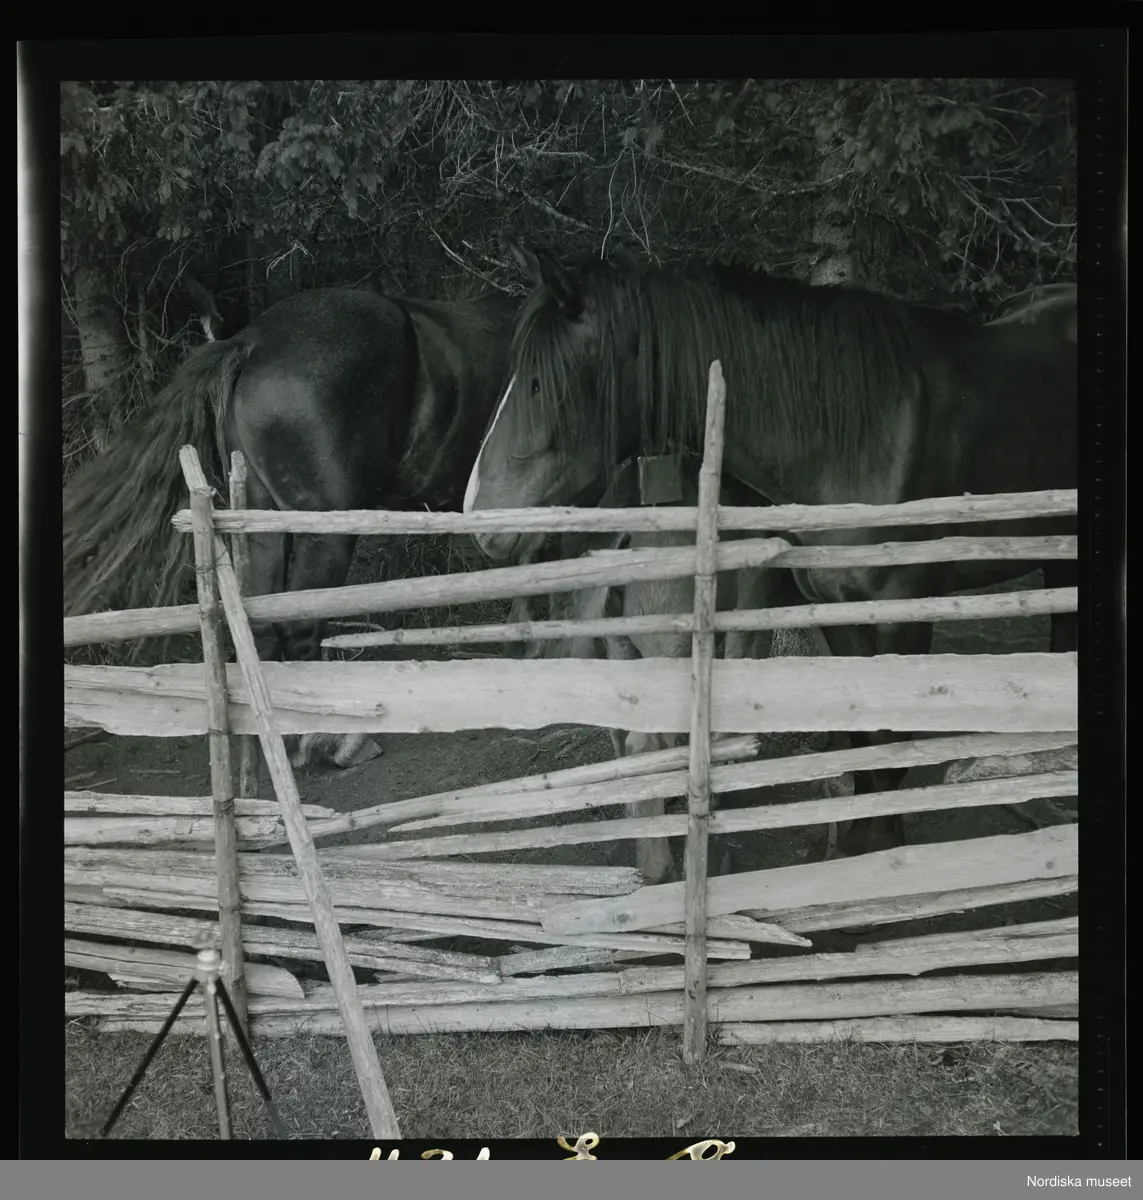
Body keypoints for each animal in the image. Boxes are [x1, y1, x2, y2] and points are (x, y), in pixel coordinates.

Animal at [63, 286, 521, 770]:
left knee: (264, 624)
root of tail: (251, 341)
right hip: (325, 533)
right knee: (300, 623)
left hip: (264, 526)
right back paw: (334, 741)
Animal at [463, 245, 1077, 862]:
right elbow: (863, 739)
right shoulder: (838, 612)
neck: (866, 433)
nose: (477, 516)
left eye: (539, 384)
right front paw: (857, 842)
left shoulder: (903, 617)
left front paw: (881, 847)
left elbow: (887, 744)